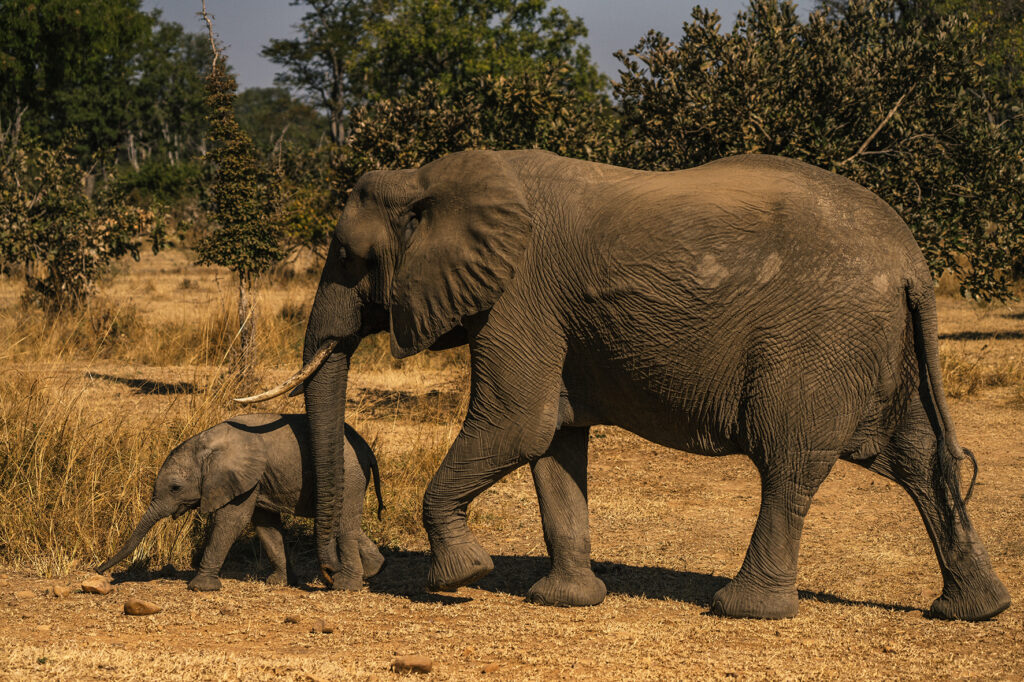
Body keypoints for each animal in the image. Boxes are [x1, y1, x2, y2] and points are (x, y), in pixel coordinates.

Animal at [96, 413, 385, 591]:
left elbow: (232, 520)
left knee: (345, 522)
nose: (98, 571)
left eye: (175, 488)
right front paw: (279, 583)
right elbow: (265, 525)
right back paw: (373, 570)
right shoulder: (256, 478)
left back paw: (346, 584)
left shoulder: (239, 476)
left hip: (350, 476)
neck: (206, 443)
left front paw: (200, 587)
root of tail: (368, 449)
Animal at [238, 149, 1010, 620]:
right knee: (917, 459)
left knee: (788, 463)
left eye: (348, 257)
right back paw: (976, 609)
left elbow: (515, 424)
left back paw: (740, 609)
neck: (432, 176)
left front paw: (461, 577)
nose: (344, 576)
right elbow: (552, 441)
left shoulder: (520, 296)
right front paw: (564, 601)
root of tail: (914, 263)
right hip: (884, 344)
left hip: (820, 342)